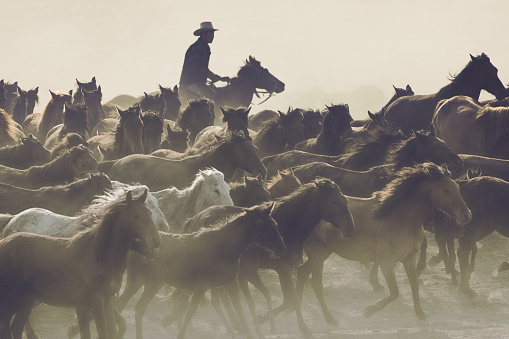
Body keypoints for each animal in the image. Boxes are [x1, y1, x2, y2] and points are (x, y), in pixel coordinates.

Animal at [0, 190, 161, 339]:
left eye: (149, 213)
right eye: (136, 216)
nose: (157, 241)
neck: (98, 256)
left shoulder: (104, 301)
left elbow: (109, 331)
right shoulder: (96, 301)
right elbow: (103, 332)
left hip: (27, 301)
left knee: (16, 328)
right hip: (11, 301)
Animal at [296, 163, 470, 326]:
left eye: (458, 188)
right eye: (446, 190)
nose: (467, 215)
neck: (401, 219)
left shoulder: (409, 259)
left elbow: (414, 285)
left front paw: (421, 314)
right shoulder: (386, 262)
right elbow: (394, 292)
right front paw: (368, 310)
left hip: (322, 254)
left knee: (302, 273)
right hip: (317, 255)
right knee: (316, 283)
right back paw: (329, 318)